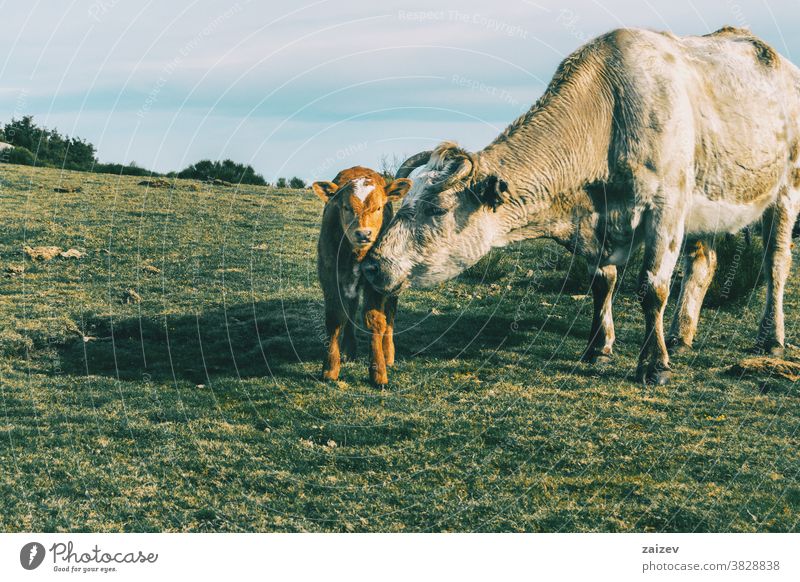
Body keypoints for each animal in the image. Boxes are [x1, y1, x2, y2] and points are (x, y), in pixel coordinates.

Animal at [312, 168, 412, 388]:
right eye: (346, 207)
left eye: (378, 207)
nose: (364, 233)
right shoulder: (329, 276)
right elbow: (335, 318)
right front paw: (330, 368)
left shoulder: (377, 281)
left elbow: (375, 320)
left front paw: (378, 372)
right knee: (350, 309)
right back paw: (348, 349)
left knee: (390, 314)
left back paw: (388, 353)